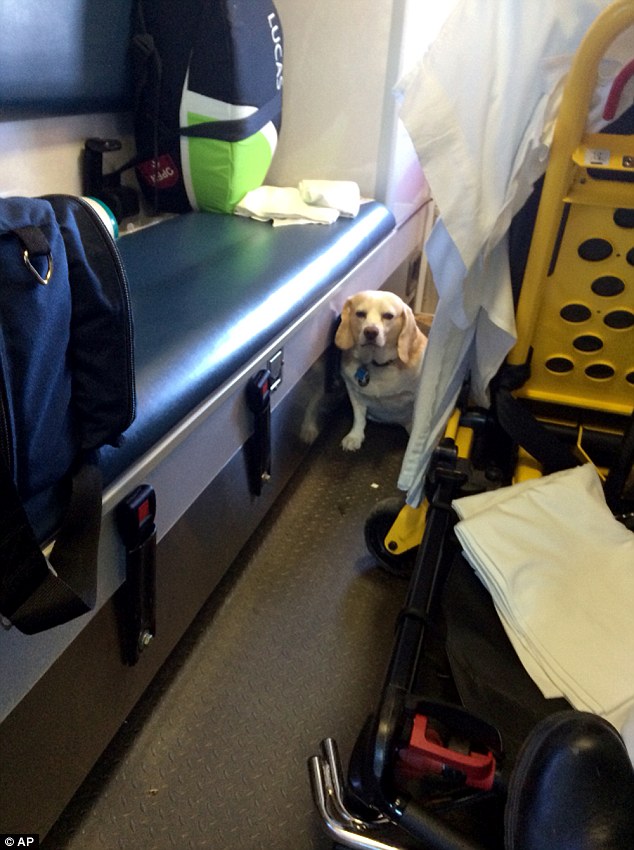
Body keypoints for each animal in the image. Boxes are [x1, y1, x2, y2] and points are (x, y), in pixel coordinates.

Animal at [334, 290, 428, 450]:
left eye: (388, 316)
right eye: (360, 314)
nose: (370, 332)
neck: (376, 364)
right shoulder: (353, 392)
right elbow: (359, 417)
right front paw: (355, 436)